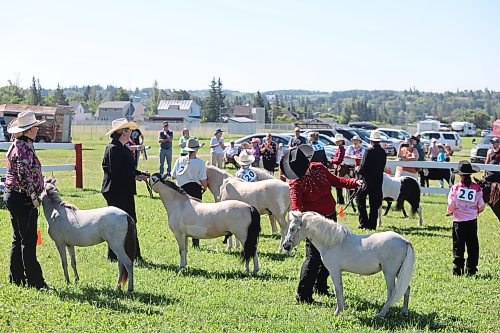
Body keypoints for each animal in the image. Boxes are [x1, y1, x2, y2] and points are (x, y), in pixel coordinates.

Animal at [284, 210, 416, 316]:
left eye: (292, 228)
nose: (285, 246)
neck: (333, 242)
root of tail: (405, 241)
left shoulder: (334, 271)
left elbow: (338, 290)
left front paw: (338, 311)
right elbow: (340, 289)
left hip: (389, 273)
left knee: (392, 293)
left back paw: (381, 314)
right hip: (399, 272)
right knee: (406, 289)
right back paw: (404, 312)